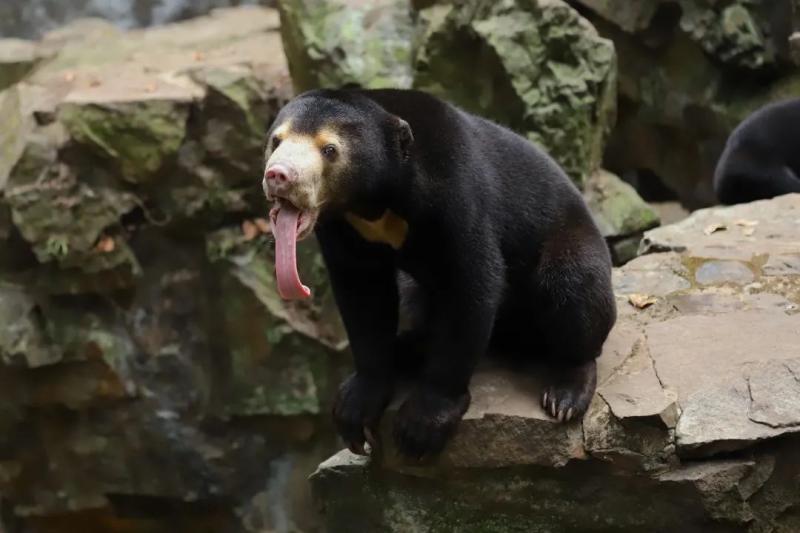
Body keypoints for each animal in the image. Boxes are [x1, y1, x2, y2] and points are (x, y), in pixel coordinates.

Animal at [266, 87, 616, 458]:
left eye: (329, 149)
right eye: (276, 140)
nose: (279, 176)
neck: (376, 203)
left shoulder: (453, 191)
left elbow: (470, 281)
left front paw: (420, 427)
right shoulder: (343, 226)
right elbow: (362, 293)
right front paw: (355, 411)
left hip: (571, 242)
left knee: (571, 286)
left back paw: (565, 394)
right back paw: (407, 349)